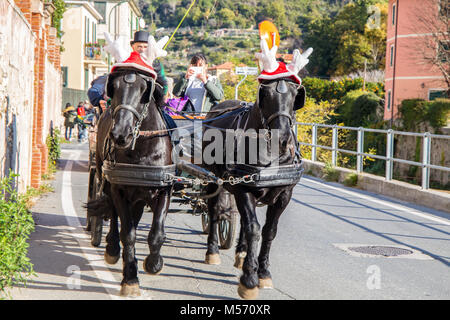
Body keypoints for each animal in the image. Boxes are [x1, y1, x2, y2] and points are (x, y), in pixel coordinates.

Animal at [87, 67, 174, 298]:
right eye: (114, 88)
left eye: (144, 90)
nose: (120, 133)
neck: (142, 148)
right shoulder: (119, 190)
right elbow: (128, 234)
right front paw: (130, 279)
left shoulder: (164, 189)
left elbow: (156, 233)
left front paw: (153, 264)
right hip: (107, 181)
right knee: (115, 216)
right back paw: (111, 248)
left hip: (139, 197)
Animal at [203, 77, 306, 300]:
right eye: (265, 96)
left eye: (295, 96)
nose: (282, 138)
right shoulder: (243, 190)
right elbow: (254, 229)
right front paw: (249, 279)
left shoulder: (284, 195)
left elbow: (268, 231)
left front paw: (264, 272)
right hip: (213, 178)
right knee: (215, 210)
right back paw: (213, 251)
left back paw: (241, 253)